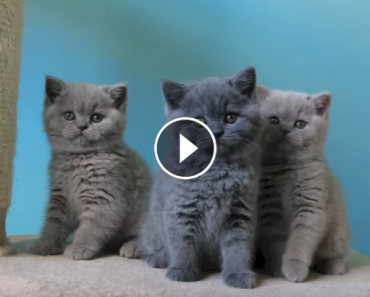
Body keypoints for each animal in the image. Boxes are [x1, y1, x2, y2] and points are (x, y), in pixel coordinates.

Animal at [27, 75, 152, 260]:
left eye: (97, 118)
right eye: (69, 115)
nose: (82, 126)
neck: (78, 159)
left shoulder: (104, 198)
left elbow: (91, 227)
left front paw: (79, 247)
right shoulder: (60, 197)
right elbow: (53, 224)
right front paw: (44, 245)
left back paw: (133, 247)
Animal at [139, 66, 264, 286]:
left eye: (230, 117)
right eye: (199, 122)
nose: (217, 132)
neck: (215, 170)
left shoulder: (240, 212)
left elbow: (238, 247)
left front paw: (238, 274)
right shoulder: (181, 208)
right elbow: (182, 243)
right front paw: (182, 270)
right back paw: (159, 258)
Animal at [258, 88, 350, 282]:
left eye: (300, 124)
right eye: (274, 120)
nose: (285, 129)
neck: (286, 168)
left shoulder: (310, 208)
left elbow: (300, 242)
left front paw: (294, 269)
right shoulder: (270, 212)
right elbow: (274, 245)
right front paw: (277, 269)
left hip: (336, 234)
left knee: (335, 254)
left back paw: (331, 267)